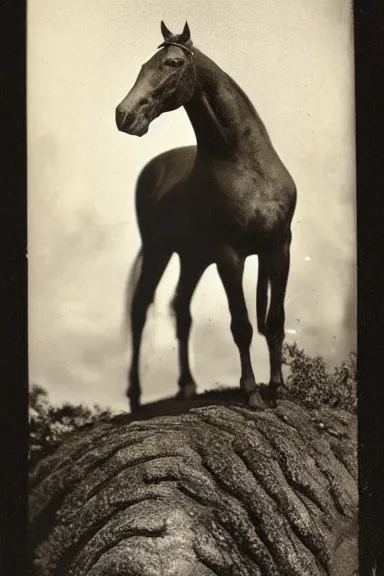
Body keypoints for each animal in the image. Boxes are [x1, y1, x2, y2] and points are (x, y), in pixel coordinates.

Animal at [115, 21, 296, 410]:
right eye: (143, 65)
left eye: (172, 62)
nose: (123, 115)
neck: (246, 166)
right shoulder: (230, 256)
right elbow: (242, 325)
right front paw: (251, 392)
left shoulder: (278, 249)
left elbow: (274, 320)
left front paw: (277, 389)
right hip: (158, 250)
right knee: (140, 308)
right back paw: (135, 396)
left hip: (193, 259)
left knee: (180, 308)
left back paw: (186, 385)